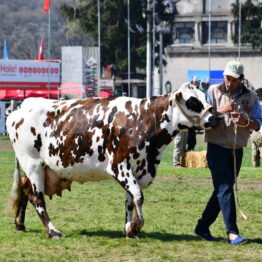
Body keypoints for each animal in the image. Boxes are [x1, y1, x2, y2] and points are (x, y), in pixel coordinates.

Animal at [6, 83, 217, 238]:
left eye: (204, 96)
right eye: (193, 101)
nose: (214, 118)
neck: (143, 119)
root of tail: (21, 108)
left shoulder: (137, 170)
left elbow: (130, 200)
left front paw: (129, 229)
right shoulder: (119, 166)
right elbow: (138, 196)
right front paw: (137, 225)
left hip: (42, 169)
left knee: (25, 190)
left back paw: (20, 224)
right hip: (32, 164)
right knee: (37, 198)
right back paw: (53, 231)